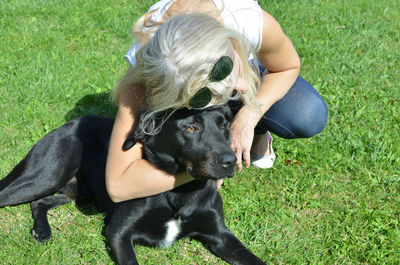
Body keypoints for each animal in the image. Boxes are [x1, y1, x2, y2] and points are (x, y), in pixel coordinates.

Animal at [0, 106, 266, 264]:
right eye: (191, 127)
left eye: (223, 125)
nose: (230, 161)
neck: (179, 192)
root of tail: (69, 124)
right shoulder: (119, 232)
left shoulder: (220, 235)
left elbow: (254, 259)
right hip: (47, 175)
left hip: (75, 192)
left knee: (40, 202)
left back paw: (42, 231)